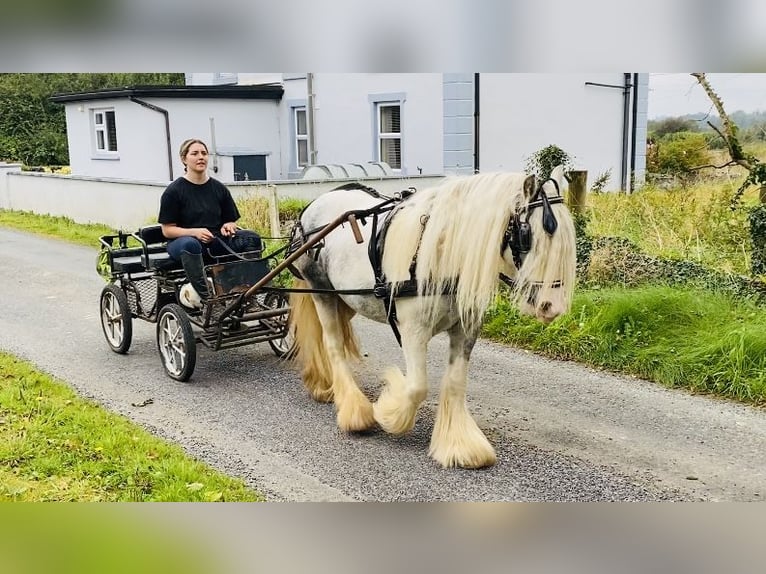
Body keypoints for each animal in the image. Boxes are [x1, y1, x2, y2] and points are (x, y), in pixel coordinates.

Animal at [288, 165, 576, 468]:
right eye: (527, 236)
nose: (552, 306)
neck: (442, 252)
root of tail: (312, 206)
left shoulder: (466, 329)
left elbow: (455, 382)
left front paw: (460, 445)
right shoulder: (412, 330)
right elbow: (417, 387)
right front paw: (389, 412)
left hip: (347, 298)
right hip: (322, 292)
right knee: (333, 344)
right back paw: (355, 412)